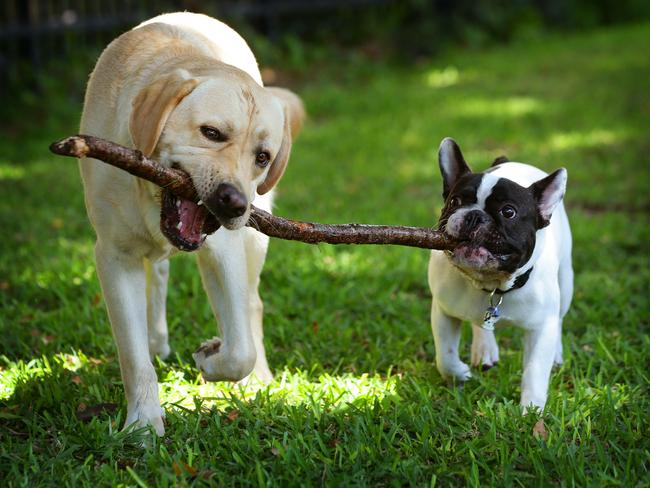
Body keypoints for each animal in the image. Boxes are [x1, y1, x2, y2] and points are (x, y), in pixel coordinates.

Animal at [78, 13, 304, 436]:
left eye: (262, 157)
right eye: (211, 133)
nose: (235, 201)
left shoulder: (224, 252)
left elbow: (240, 349)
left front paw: (210, 358)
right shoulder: (115, 255)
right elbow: (133, 354)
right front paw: (143, 424)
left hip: (254, 241)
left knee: (252, 305)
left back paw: (260, 379)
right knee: (159, 276)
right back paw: (157, 339)